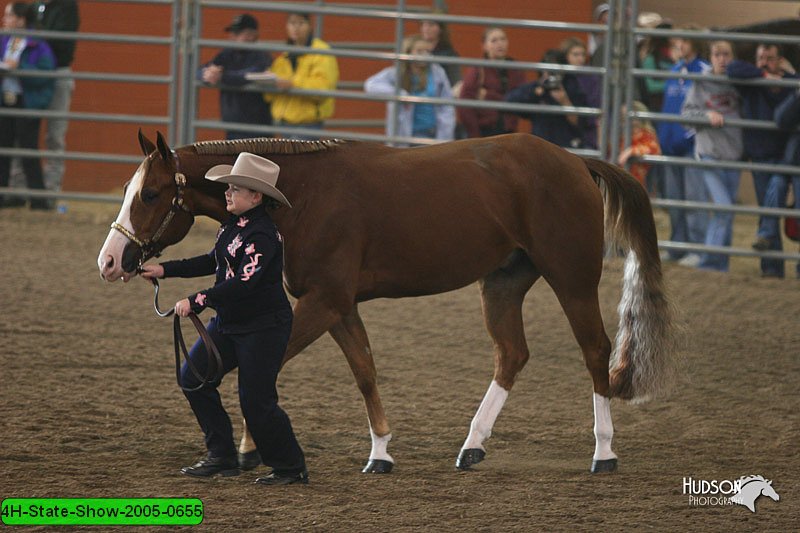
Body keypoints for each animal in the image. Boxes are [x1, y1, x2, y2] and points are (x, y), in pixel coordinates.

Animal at [98, 132, 676, 474]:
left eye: (150, 194)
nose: (110, 260)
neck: (300, 196)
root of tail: (575, 160)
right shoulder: (339, 305)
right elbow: (365, 370)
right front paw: (380, 453)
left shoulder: (322, 302)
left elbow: (269, 370)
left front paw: (249, 450)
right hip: (503, 282)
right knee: (512, 354)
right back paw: (472, 446)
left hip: (571, 279)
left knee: (595, 351)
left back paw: (604, 452)